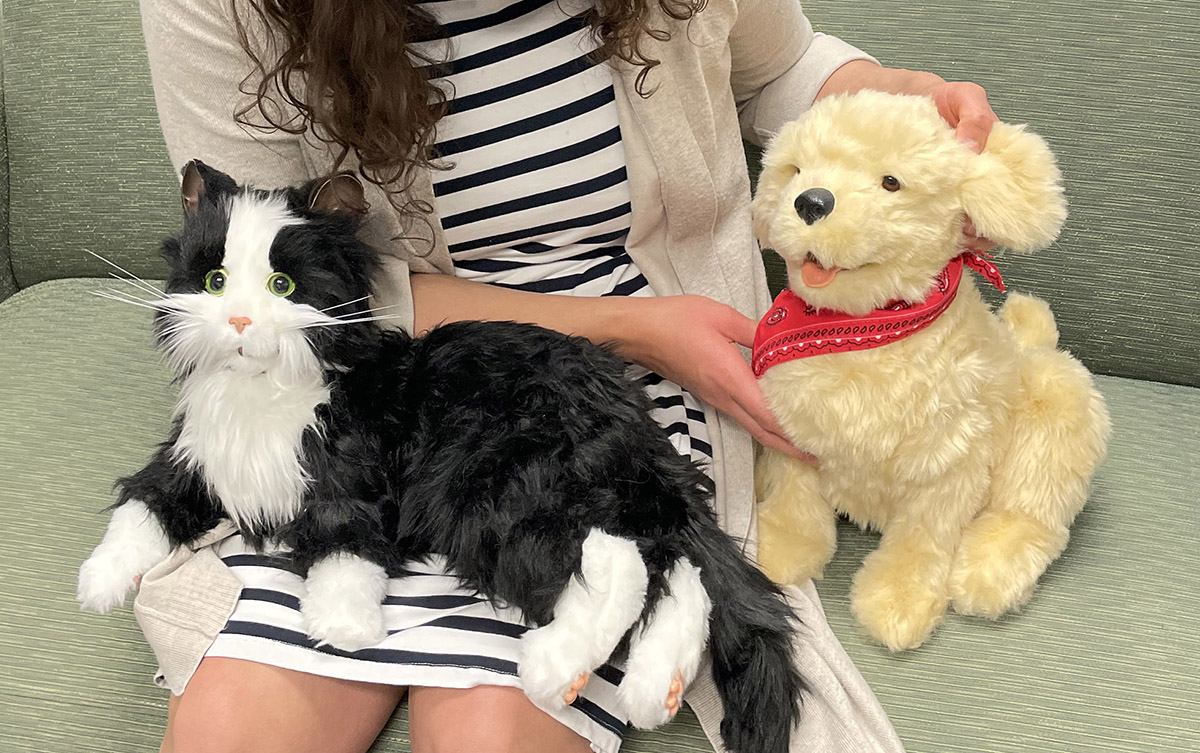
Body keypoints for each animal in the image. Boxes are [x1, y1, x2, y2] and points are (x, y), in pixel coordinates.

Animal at [77, 161, 806, 748]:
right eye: (215, 278)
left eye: (282, 285)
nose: (238, 321)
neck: (265, 393)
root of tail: (636, 425)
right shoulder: (193, 460)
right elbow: (144, 505)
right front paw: (99, 582)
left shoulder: (356, 481)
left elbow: (344, 549)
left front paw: (343, 626)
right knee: (677, 573)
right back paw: (654, 688)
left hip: (494, 490)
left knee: (624, 563)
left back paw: (553, 669)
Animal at [753, 91, 1108, 652]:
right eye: (796, 169)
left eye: (890, 182)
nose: (811, 201)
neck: (864, 333)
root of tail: (1034, 344)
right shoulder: (792, 435)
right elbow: (794, 501)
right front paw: (778, 550)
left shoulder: (948, 465)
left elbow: (920, 541)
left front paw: (898, 602)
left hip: (1053, 408)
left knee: (1033, 508)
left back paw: (989, 568)